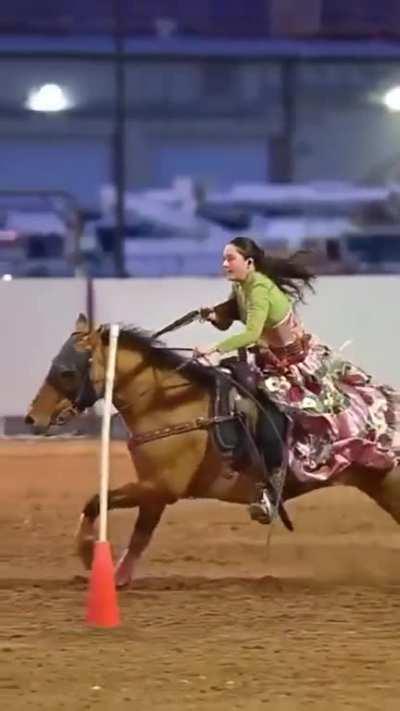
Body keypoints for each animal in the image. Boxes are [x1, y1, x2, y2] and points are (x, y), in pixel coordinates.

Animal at [25, 314, 400, 588]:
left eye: (67, 371)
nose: (32, 418)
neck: (170, 404)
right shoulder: (155, 492)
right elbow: (139, 536)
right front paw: (116, 578)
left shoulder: (160, 488)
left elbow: (95, 502)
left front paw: (87, 553)